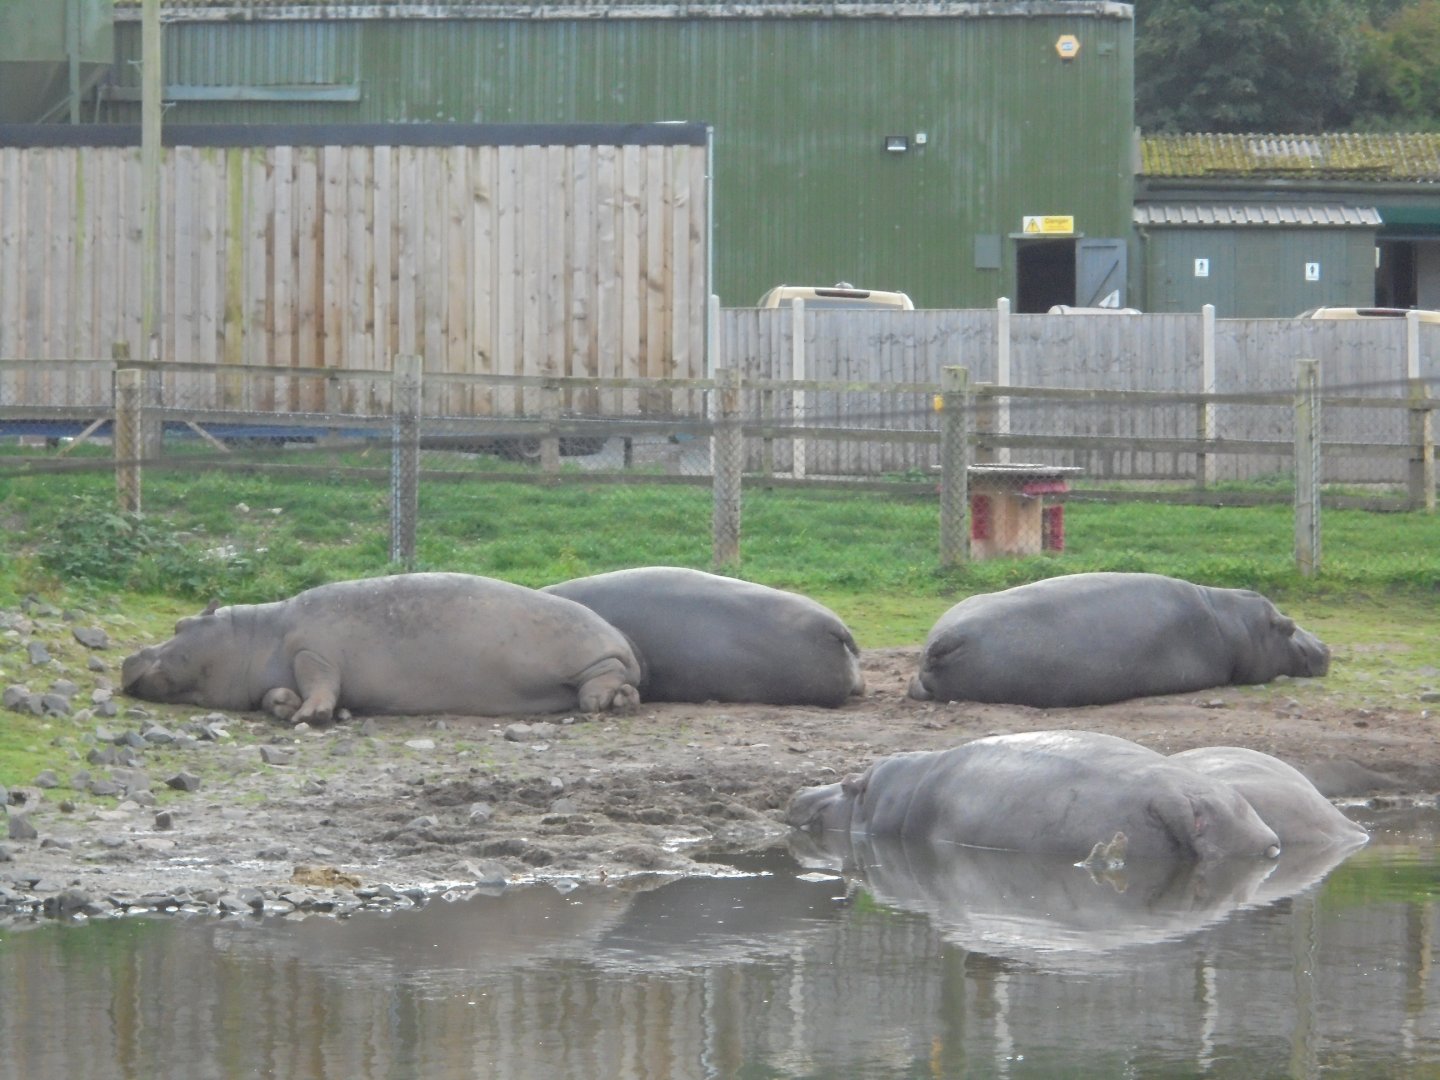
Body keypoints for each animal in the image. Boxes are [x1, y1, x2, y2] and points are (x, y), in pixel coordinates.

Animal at [122, 572, 642, 724]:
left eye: (180, 623)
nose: (129, 656)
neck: (250, 635)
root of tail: (627, 643)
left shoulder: (313, 651)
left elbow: (318, 680)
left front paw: (309, 716)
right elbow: (278, 693)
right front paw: (286, 706)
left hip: (594, 657)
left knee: (602, 677)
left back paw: (599, 703)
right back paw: (620, 701)